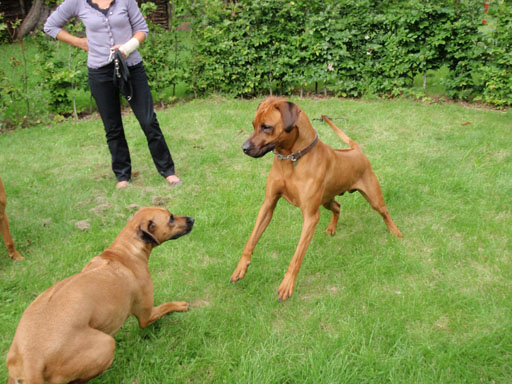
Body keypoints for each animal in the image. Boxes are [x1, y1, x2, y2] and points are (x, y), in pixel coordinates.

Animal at [6, 207, 194, 384]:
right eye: (170, 218)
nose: (192, 219)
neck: (123, 252)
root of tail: (32, 360)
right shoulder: (146, 315)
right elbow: (165, 306)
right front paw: (180, 305)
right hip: (106, 344)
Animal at [230, 96, 402, 300]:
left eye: (267, 127)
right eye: (254, 124)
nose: (244, 148)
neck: (292, 159)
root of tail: (355, 150)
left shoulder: (311, 216)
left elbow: (297, 257)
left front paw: (287, 284)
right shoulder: (268, 204)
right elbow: (251, 240)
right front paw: (241, 267)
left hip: (373, 197)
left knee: (384, 212)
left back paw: (395, 232)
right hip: (326, 200)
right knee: (338, 206)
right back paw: (332, 228)